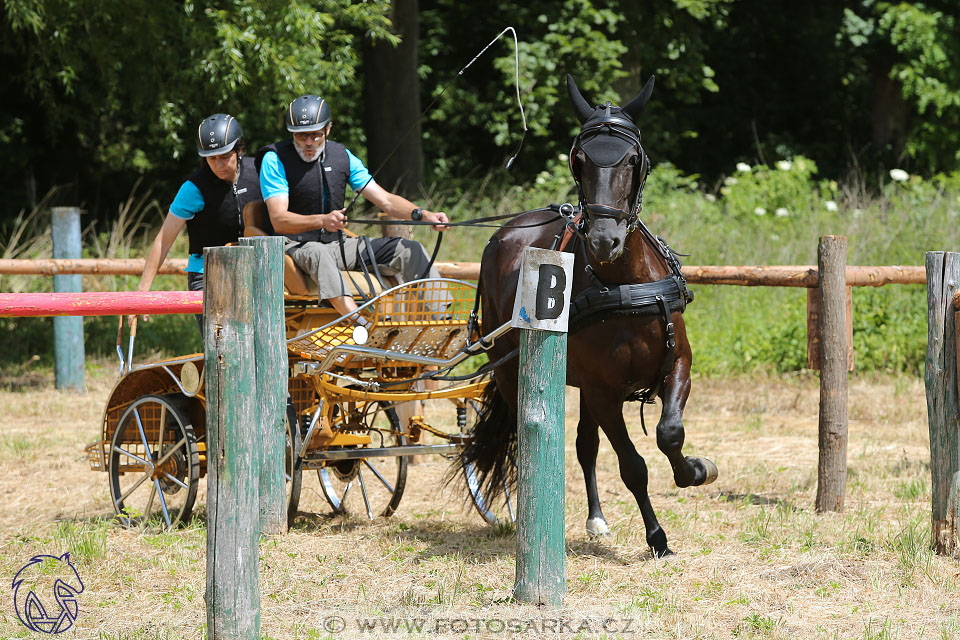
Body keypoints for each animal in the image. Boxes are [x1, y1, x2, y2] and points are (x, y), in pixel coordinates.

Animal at [462, 74, 716, 556]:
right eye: (578, 160)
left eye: (633, 158)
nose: (603, 240)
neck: (623, 285)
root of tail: (504, 233)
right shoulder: (603, 392)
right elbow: (633, 466)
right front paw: (657, 537)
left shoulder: (678, 365)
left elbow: (669, 433)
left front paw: (693, 470)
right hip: (510, 372)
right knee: (528, 440)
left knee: (585, 445)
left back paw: (596, 519)